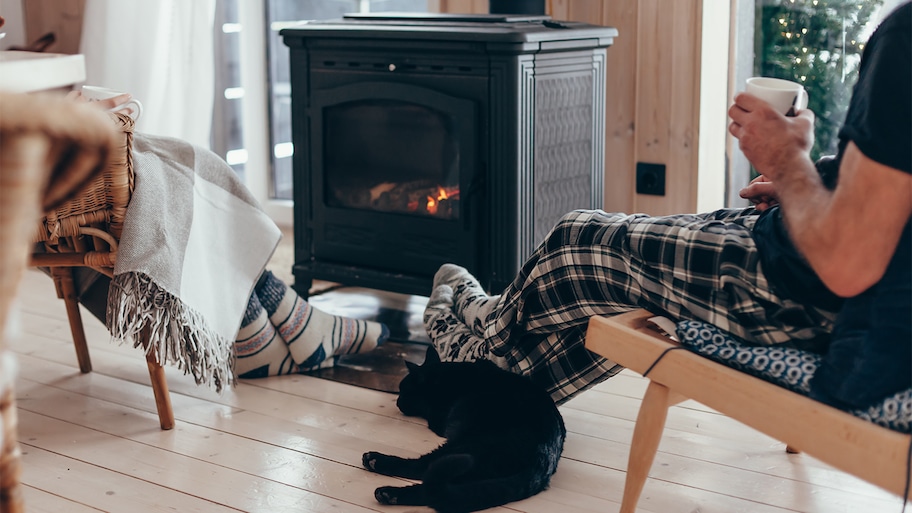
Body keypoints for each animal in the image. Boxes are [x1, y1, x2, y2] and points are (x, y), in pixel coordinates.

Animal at [362, 346, 564, 510]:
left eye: (403, 390)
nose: (397, 401)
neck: (448, 376)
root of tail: (543, 461)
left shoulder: (439, 421)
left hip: (464, 447)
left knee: (423, 469)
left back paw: (381, 474)